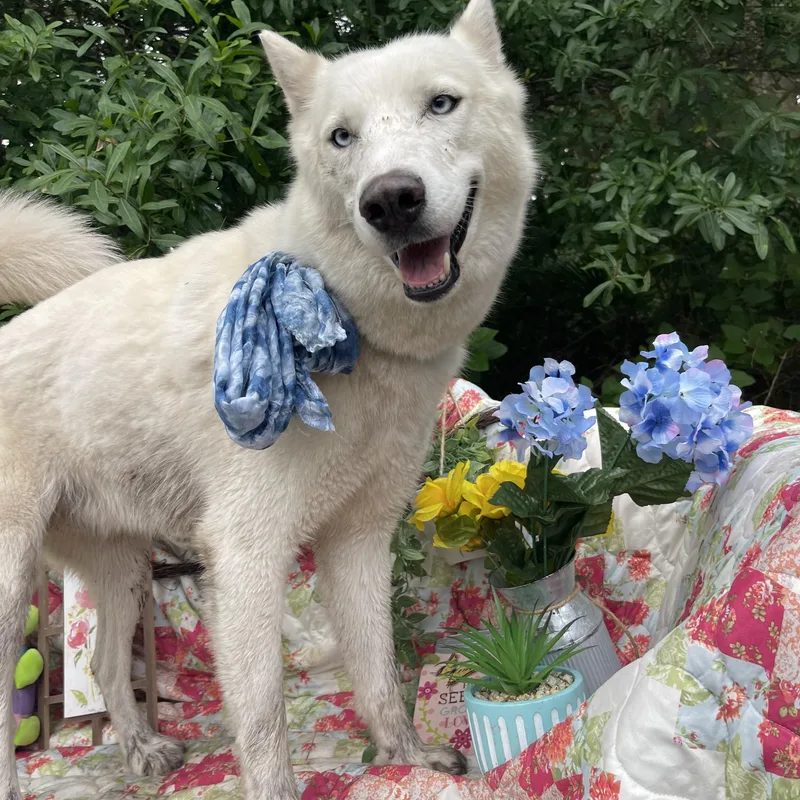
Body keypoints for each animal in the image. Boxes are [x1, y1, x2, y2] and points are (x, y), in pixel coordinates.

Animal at [0, 1, 535, 796]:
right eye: (342, 136)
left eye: (442, 103)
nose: (390, 199)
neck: (346, 322)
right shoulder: (249, 554)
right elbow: (262, 721)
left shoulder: (359, 541)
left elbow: (379, 673)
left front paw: (407, 758)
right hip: (13, 587)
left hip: (120, 570)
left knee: (102, 661)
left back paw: (143, 753)